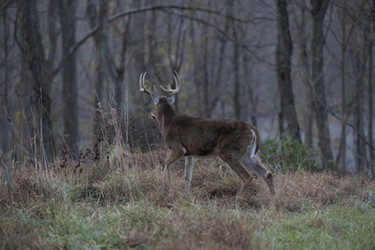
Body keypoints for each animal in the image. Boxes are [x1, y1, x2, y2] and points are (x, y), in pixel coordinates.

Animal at [139, 72, 276, 197]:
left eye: (153, 104)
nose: (152, 115)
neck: (168, 123)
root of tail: (253, 130)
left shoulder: (177, 148)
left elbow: (166, 165)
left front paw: (168, 186)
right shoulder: (190, 153)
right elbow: (187, 176)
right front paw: (186, 196)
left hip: (229, 151)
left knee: (247, 176)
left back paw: (238, 199)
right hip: (249, 154)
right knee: (267, 174)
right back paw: (273, 200)